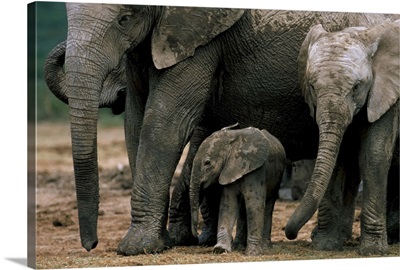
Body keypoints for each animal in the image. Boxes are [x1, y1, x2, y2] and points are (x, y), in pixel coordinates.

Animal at [189, 126, 286, 255]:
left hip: (277, 178)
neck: (233, 139)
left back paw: (265, 248)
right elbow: (228, 204)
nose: (196, 237)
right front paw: (220, 249)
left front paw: (252, 253)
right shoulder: (229, 169)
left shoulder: (256, 170)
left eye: (207, 163)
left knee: (268, 204)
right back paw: (238, 247)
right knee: (242, 208)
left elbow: (254, 204)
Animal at [286, 20, 398, 254]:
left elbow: (373, 156)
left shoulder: (388, 93)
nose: (290, 234)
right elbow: (341, 158)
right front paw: (326, 245)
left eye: (356, 87)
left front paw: (373, 251)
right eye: (312, 87)